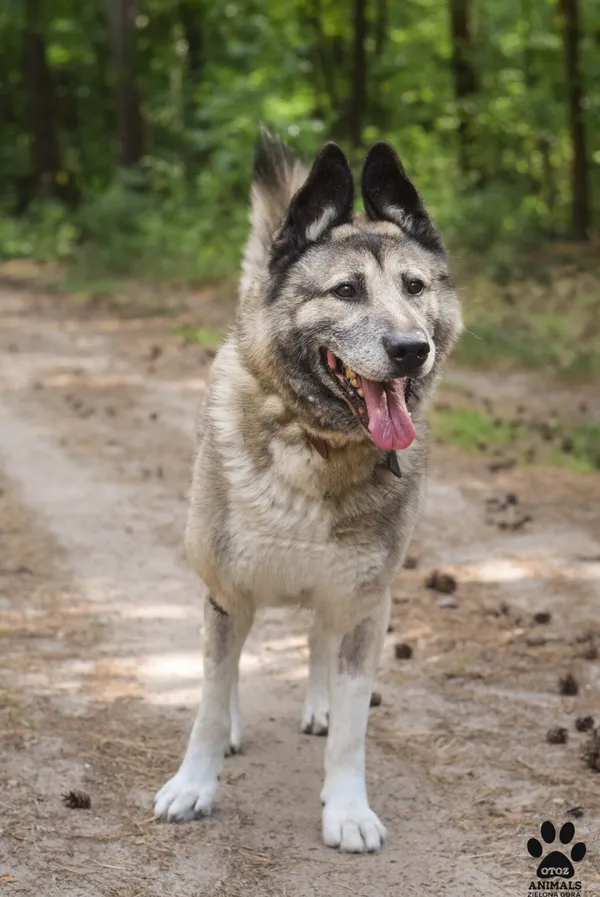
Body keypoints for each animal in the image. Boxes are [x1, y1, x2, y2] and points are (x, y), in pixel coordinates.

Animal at [154, 133, 460, 856]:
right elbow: (209, 701)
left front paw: (347, 809)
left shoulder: (363, 603)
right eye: (345, 290)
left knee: (320, 645)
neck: (320, 445)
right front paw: (194, 784)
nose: (412, 348)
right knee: (227, 668)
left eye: (414, 287)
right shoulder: (227, 591)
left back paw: (318, 703)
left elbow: (352, 727)